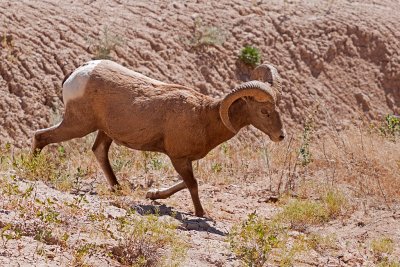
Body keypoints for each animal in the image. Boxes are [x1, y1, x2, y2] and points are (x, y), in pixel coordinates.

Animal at [32, 60, 286, 218]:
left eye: (277, 109)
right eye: (264, 112)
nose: (280, 136)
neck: (204, 116)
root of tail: (77, 74)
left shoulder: (184, 160)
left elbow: (185, 183)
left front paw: (153, 195)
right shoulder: (178, 158)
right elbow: (192, 184)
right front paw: (201, 213)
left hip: (102, 131)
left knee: (99, 151)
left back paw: (118, 189)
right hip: (78, 125)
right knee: (41, 136)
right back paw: (30, 169)